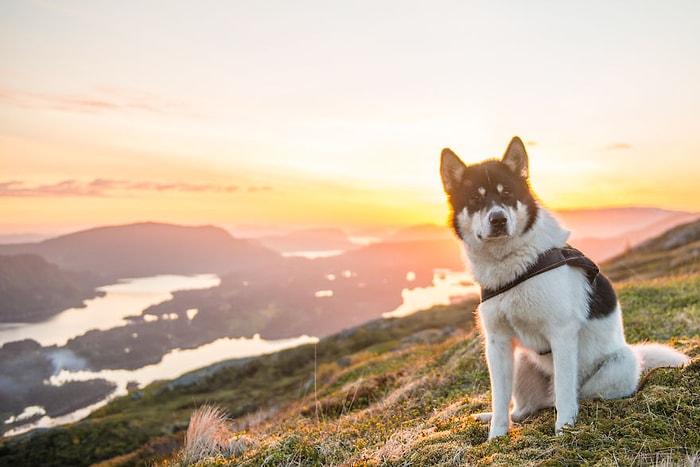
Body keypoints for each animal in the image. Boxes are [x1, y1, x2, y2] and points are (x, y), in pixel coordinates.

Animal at [438, 137, 688, 440]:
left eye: (507, 193)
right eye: (476, 197)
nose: (498, 220)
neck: (515, 266)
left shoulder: (562, 335)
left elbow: (566, 392)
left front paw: (565, 429)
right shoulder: (498, 343)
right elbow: (499, 399)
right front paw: (496, 436)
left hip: (617, 366)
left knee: (575, 394)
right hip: (522, 364)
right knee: (523, 409)